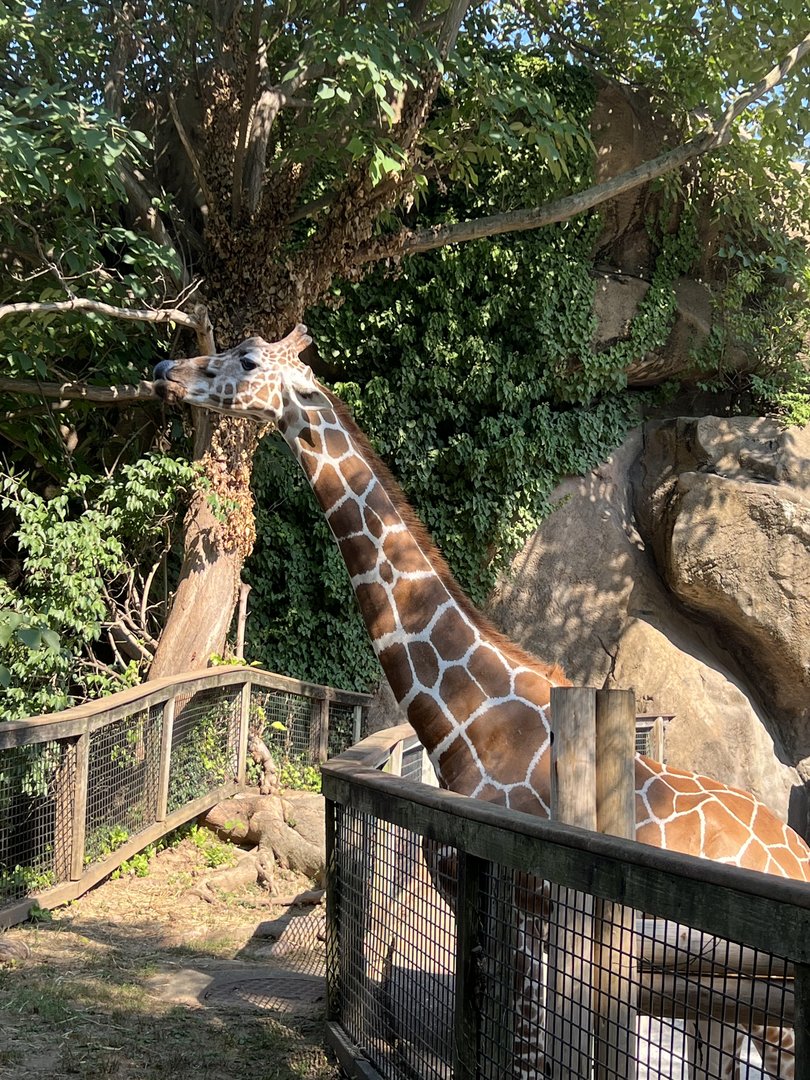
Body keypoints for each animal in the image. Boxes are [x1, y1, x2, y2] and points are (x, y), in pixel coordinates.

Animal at [153, 326, 810, 1079]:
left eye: (249, 360)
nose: (167, 369)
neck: (473, 720)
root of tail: (798, 856)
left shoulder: (525, 903)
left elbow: (521, 1053)